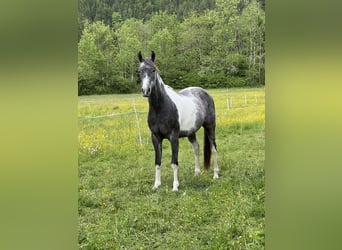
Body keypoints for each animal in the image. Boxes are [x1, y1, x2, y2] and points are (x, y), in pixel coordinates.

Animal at [137, 50, 219, 191]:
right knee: (196, 148)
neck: (160, 107)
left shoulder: (173, 137)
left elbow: (174, 163)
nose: (145, 91)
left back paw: (215, 175)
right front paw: (156, 185)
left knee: (213, 148)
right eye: (140, 71)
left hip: (210, 126)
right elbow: (157, 162)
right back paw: (197, 173)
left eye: (153, 70)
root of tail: (204, 92)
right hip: (191, 132)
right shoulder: (155, 137)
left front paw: (175, 186)